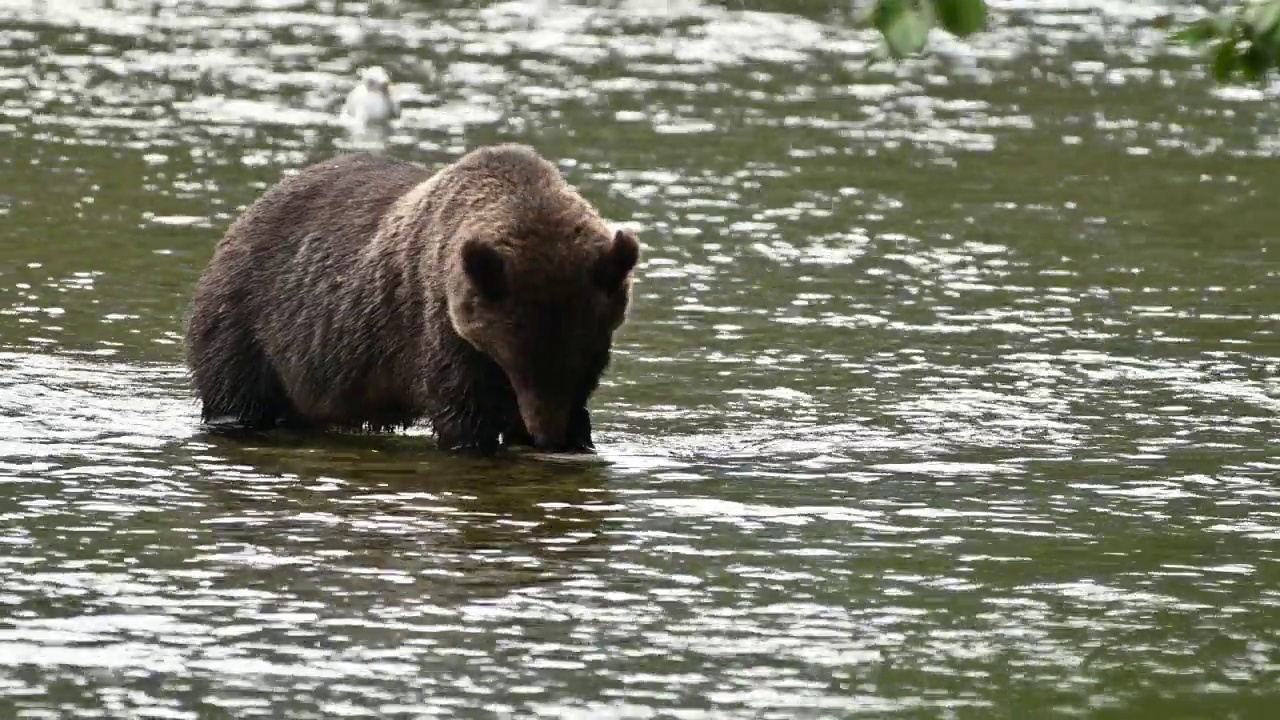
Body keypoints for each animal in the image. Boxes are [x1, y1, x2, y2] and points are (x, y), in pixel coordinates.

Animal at [183, 142, 640, 450]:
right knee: (237, 395)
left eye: (580, 357)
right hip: (251, 324)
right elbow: (463, 413)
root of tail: (240, 220)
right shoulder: (435, 326)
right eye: (518, 361)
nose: (544, 434)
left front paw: (575, 433)